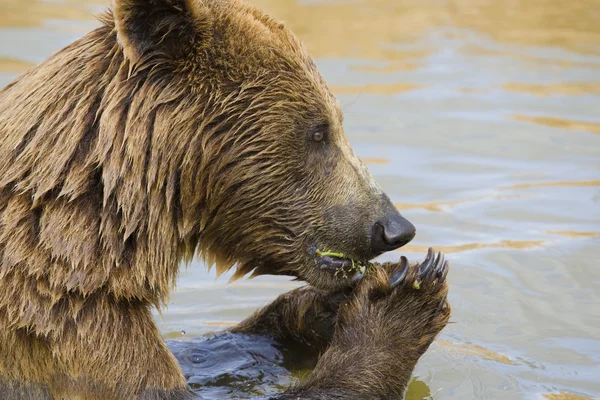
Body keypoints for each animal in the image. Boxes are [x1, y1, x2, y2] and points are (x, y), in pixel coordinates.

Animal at [0, 0, 450, 396]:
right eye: (320, 131)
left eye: (333, 124)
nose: (394, 227)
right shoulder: (64, 328)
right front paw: (401, 299)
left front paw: (330, 306)